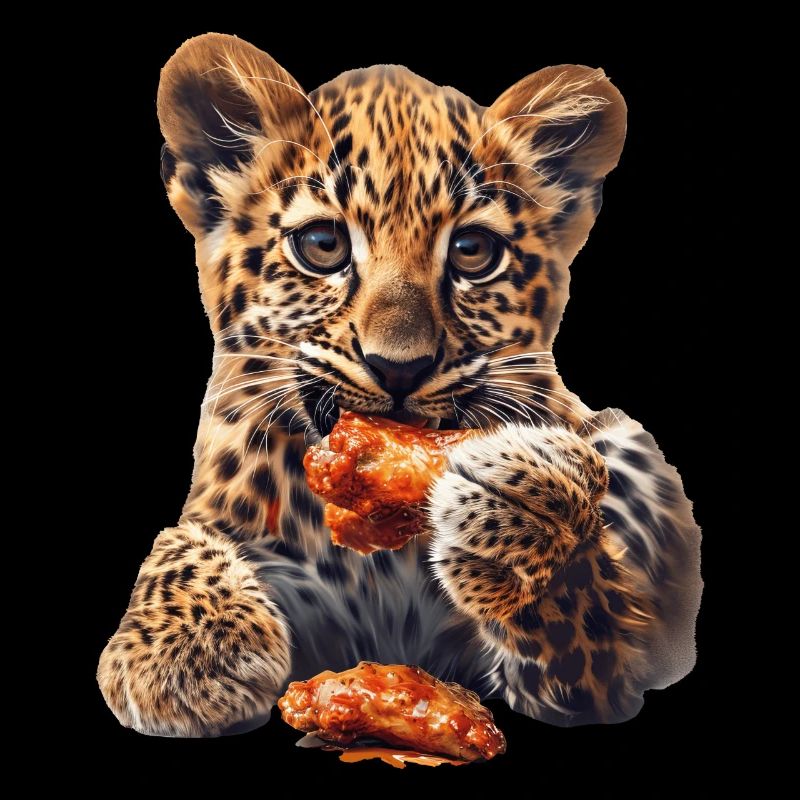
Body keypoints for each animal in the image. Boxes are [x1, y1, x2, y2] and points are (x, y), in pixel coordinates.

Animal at [97, 33, 702, 737]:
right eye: (323, 244)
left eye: (472, 251)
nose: (400, 368)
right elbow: (179, 540)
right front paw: (189, 652)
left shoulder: (595, 671)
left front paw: (529, 519)